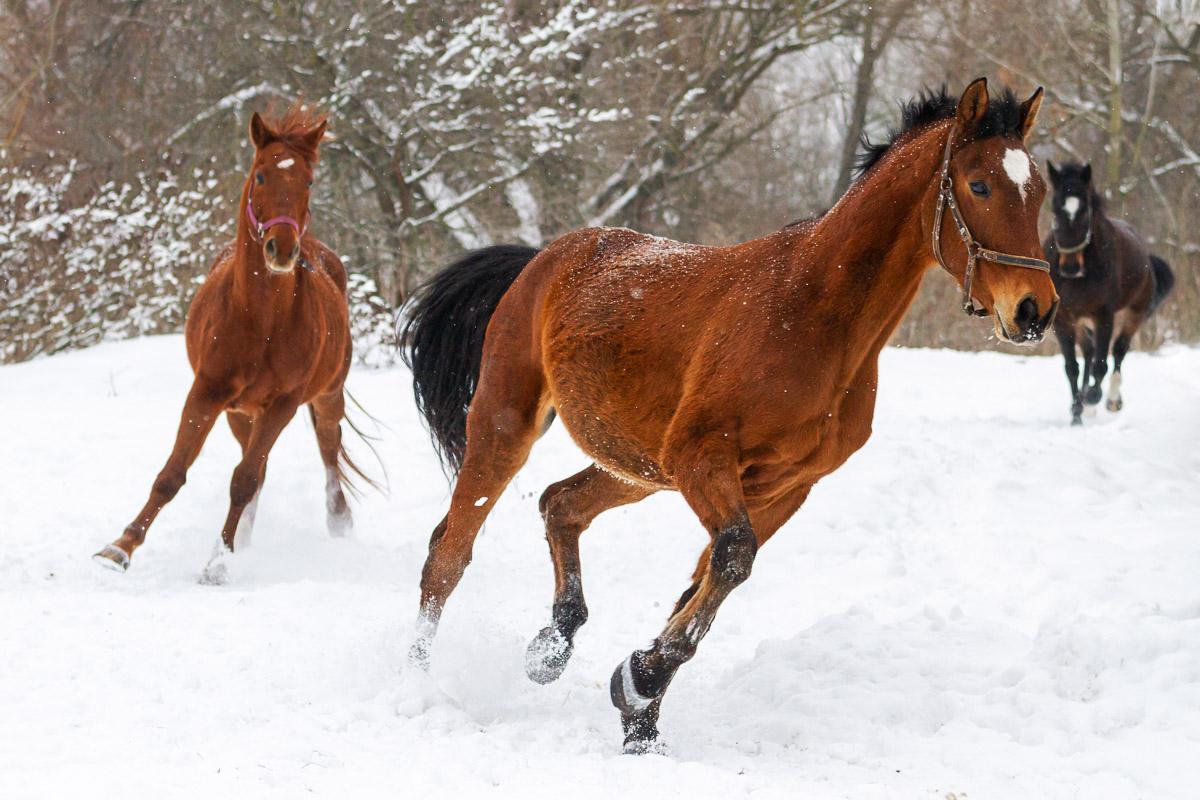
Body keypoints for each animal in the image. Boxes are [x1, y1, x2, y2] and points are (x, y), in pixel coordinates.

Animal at [94, 106, 370, 582]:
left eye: (308, 181)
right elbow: (173, 474)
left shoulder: (283, 403)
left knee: (326, 449)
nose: (281, 249)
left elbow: (242, 481)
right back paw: (245, 535)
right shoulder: (208, 392)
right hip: (241, 414)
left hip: (325, 396)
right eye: (261, 175)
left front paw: (217, 563)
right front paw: (120, 547)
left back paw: (337, 521)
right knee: (258, 465)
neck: (261, 320)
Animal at [401, 79, 1058, 751]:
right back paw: (419, 684)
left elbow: (707, 583)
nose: (1034, 310)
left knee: (559, 505)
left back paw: (550, 649)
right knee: (448, 551)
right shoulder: (703, 459)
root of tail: (541, 260)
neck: (814, 315)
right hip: (507, 425)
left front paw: (640, 712)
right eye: (979, 185)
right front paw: (638, 684)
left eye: (1039, 190)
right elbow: (733, 559)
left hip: (637, 467)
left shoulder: (783, 486)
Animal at [1043, 161, 1175, 425]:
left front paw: (1092, 398)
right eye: (1055, 209)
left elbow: (1101, 364)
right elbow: (1071, 367)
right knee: (1089, 352)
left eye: (1085, 210)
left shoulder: (1103, 315)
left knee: (1118, 351)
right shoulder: (1063, 320)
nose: (1069, 267)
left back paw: (1111, 400)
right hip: (1081, 322)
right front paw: (1076, 413)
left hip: (1133, 313)